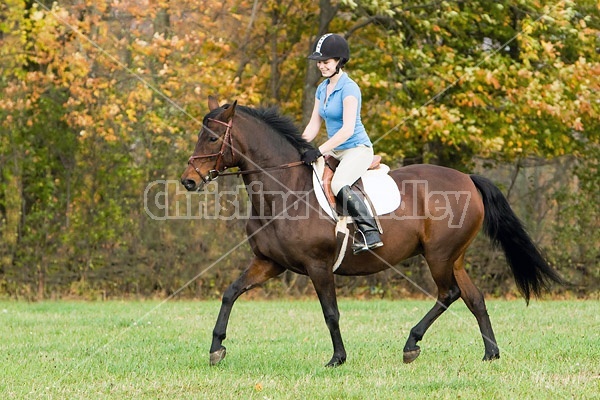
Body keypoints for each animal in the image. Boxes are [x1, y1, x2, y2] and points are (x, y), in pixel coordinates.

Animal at [178, 96, 564, 366]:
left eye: (211, 138)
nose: (188, 181)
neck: (284, 190)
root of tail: (467, 178)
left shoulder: (318, 266)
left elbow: (330, 313)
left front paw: (337, 358)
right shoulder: (268, 262)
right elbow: (230, 293)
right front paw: (216, 348)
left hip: (438, 256)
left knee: (449, 294)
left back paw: (411, 345)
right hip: (453, 257)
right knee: (474, 298)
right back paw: (490, 354)